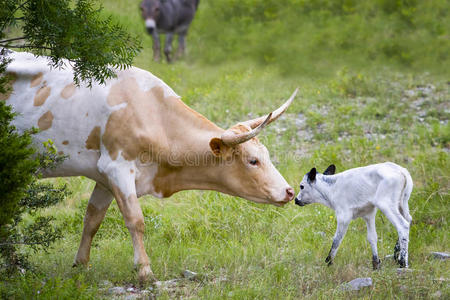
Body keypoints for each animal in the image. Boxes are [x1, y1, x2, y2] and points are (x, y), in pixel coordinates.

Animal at [4, 50, 298, 282]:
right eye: (252, 160)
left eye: (266, 154)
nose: (289, 191)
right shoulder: (117, 168)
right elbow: (136, 220)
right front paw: (145, 270)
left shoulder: (103, 178)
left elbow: (92, 220)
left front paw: (81, 265)